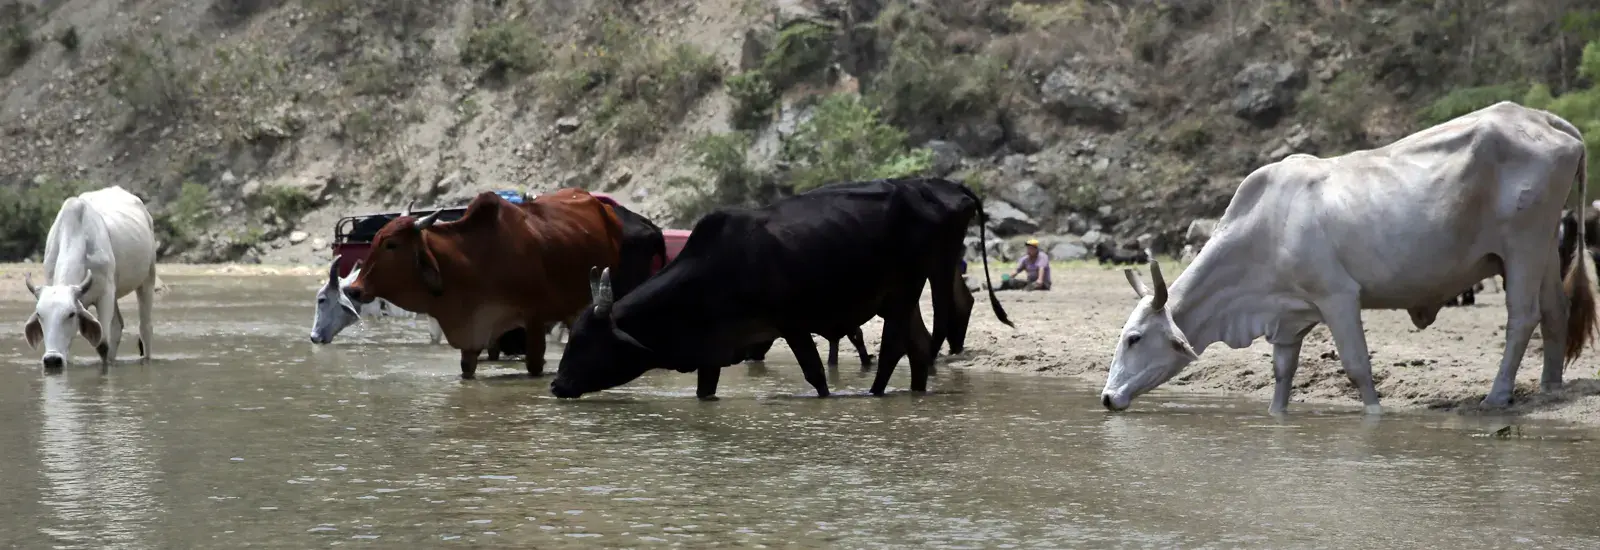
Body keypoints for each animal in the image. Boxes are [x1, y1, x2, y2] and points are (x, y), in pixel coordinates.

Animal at [22, 185, 158, 374]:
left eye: (71, 313)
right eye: (40, 314)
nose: (52, 360)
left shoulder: (105, 295)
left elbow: (103, 345)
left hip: (147, 278)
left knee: (145, 328)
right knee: (118, 326)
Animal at [347, 188, 620, 377]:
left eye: (391, 244)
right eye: (375, 239)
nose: (354, 290)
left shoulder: (533, 318)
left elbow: (534, 364)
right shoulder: (473, 328)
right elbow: (467, 367)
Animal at [550, 175, 1011, 399]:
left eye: (586, 342)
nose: (556, 386)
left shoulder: (792, 324)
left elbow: (816, 376)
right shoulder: (713, 349)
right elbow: (705, 390)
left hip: (914, 285)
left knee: (901, 345)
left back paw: (874, 393)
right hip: (900, 295)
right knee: (916, 346)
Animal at [1100, 101, 1600, 415]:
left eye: (1134, 338)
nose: (1106, 398)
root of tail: (1544, 119)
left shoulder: (1337, 297)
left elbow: (1358, 367)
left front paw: (1375, 416)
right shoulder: (1288, 315)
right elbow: (1282, 374)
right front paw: (1275, 416)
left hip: (1522, 245)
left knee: (1522, 317)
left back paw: (1498, 396)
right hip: (1542, 250)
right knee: (1556, 310)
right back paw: (1550, 386)